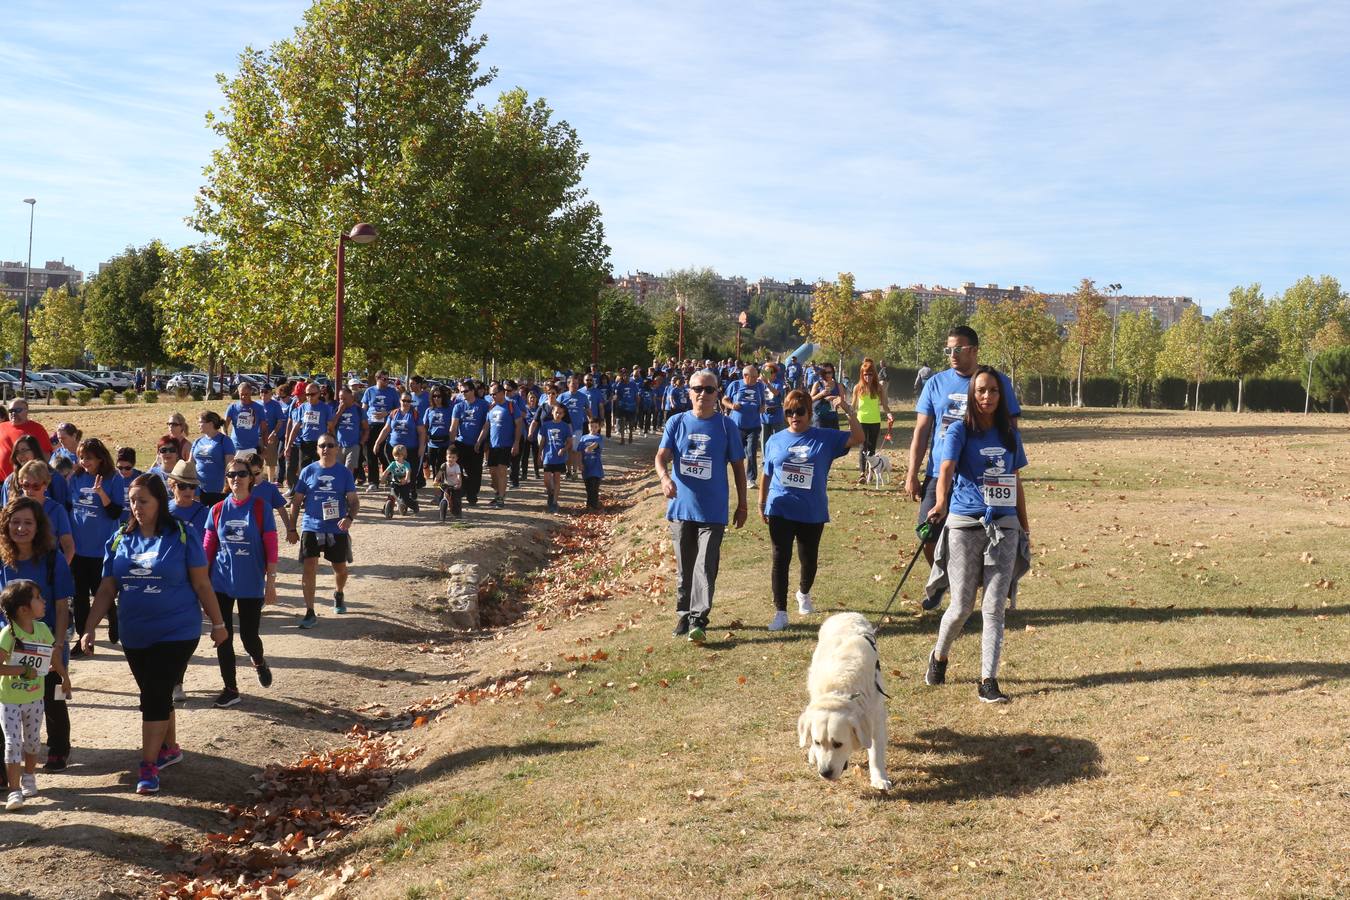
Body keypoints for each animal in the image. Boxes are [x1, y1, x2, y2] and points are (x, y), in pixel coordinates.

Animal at [793, 612, 891, 788]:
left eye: (838, 744)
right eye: (818, 742)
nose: (824, 773)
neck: (840, 689)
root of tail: (846, 613)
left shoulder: (876, 716)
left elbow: (876, 752)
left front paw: (879, 778)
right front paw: (813, 751)